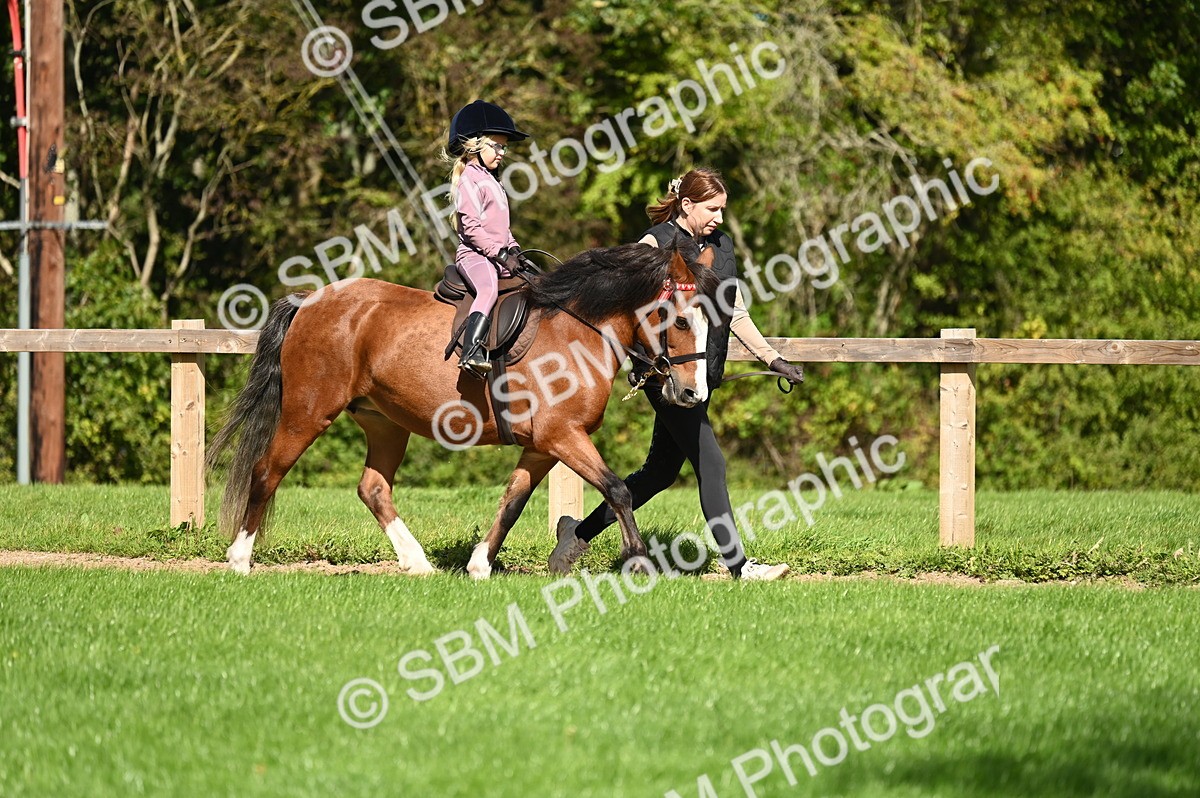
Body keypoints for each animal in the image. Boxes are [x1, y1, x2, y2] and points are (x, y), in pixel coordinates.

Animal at [208, 238, 721, 578]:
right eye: (678, 320)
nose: (693, 395)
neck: (579, 329)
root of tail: (311, 300)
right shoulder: (562, 436)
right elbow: (618, 491)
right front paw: (639, 562)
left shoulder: (543, 446)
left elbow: (512, 502)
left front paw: (478, 565)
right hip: (307, 412)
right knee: (265, 472)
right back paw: (240, 559)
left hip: (385, 424)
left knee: (373, 488)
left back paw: (417, 562)